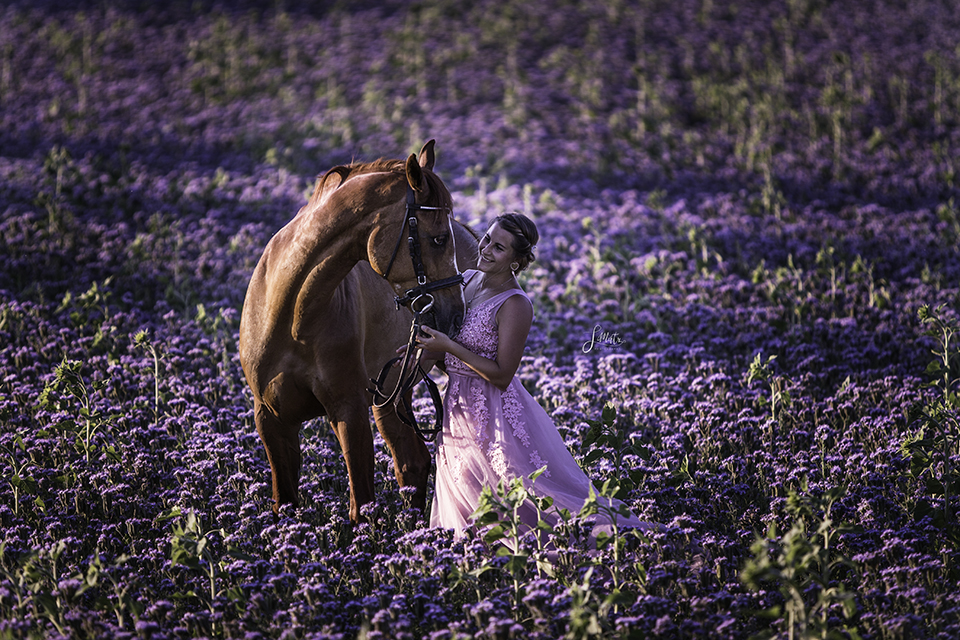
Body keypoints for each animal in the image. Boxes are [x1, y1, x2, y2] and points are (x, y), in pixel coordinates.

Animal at [240, 140, 480, 520]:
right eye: (439, 239)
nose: (456, 315)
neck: (290, 316)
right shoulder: (271, 419)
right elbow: (284, 502)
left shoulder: (349, 412)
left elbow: (361, 505)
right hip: (392, 395)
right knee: (412, 462)